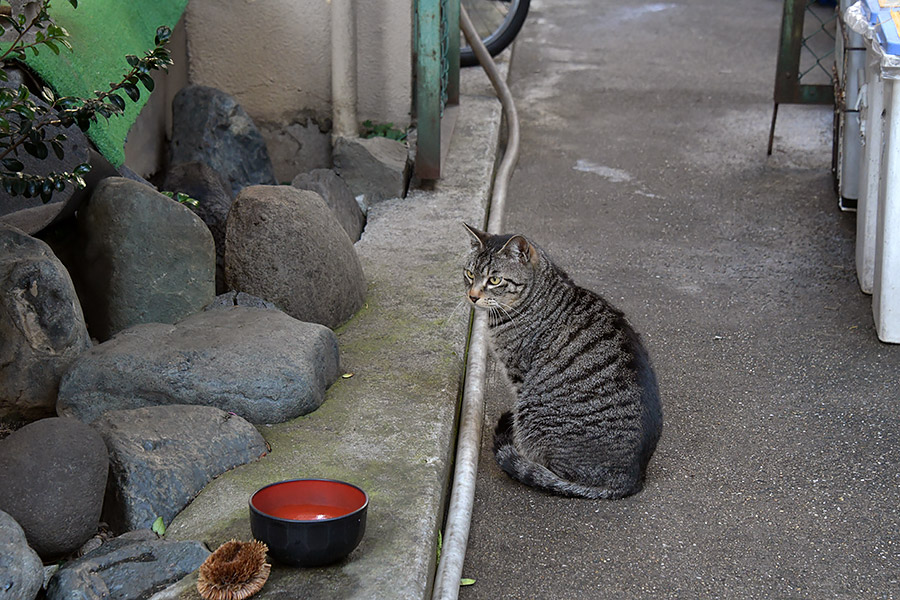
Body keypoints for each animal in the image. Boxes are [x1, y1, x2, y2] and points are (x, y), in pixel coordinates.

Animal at [464, 223, 660, 500]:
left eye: (494, 280)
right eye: (469, 274)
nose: (472, 296)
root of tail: (631, 478)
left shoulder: (520, 375)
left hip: (532, 412)